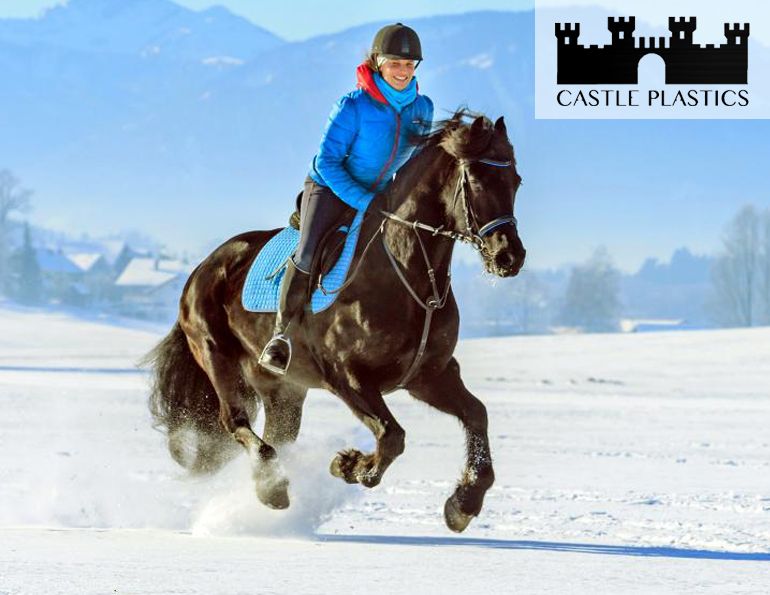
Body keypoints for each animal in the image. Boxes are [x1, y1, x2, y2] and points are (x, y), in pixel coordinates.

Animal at [144, 110, 525, 533]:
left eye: (516, 181)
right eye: (476, 179)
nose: (510, 257)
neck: (406, 275)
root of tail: (200, 269)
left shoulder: (429, 375)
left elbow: (476, 414)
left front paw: (463, 503)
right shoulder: (348, 376)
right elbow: (392, 435)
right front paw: (348, 466)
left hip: (284, 390)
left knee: (276, 435)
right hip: (216, 356)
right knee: (235, 422)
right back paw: (272, 489)